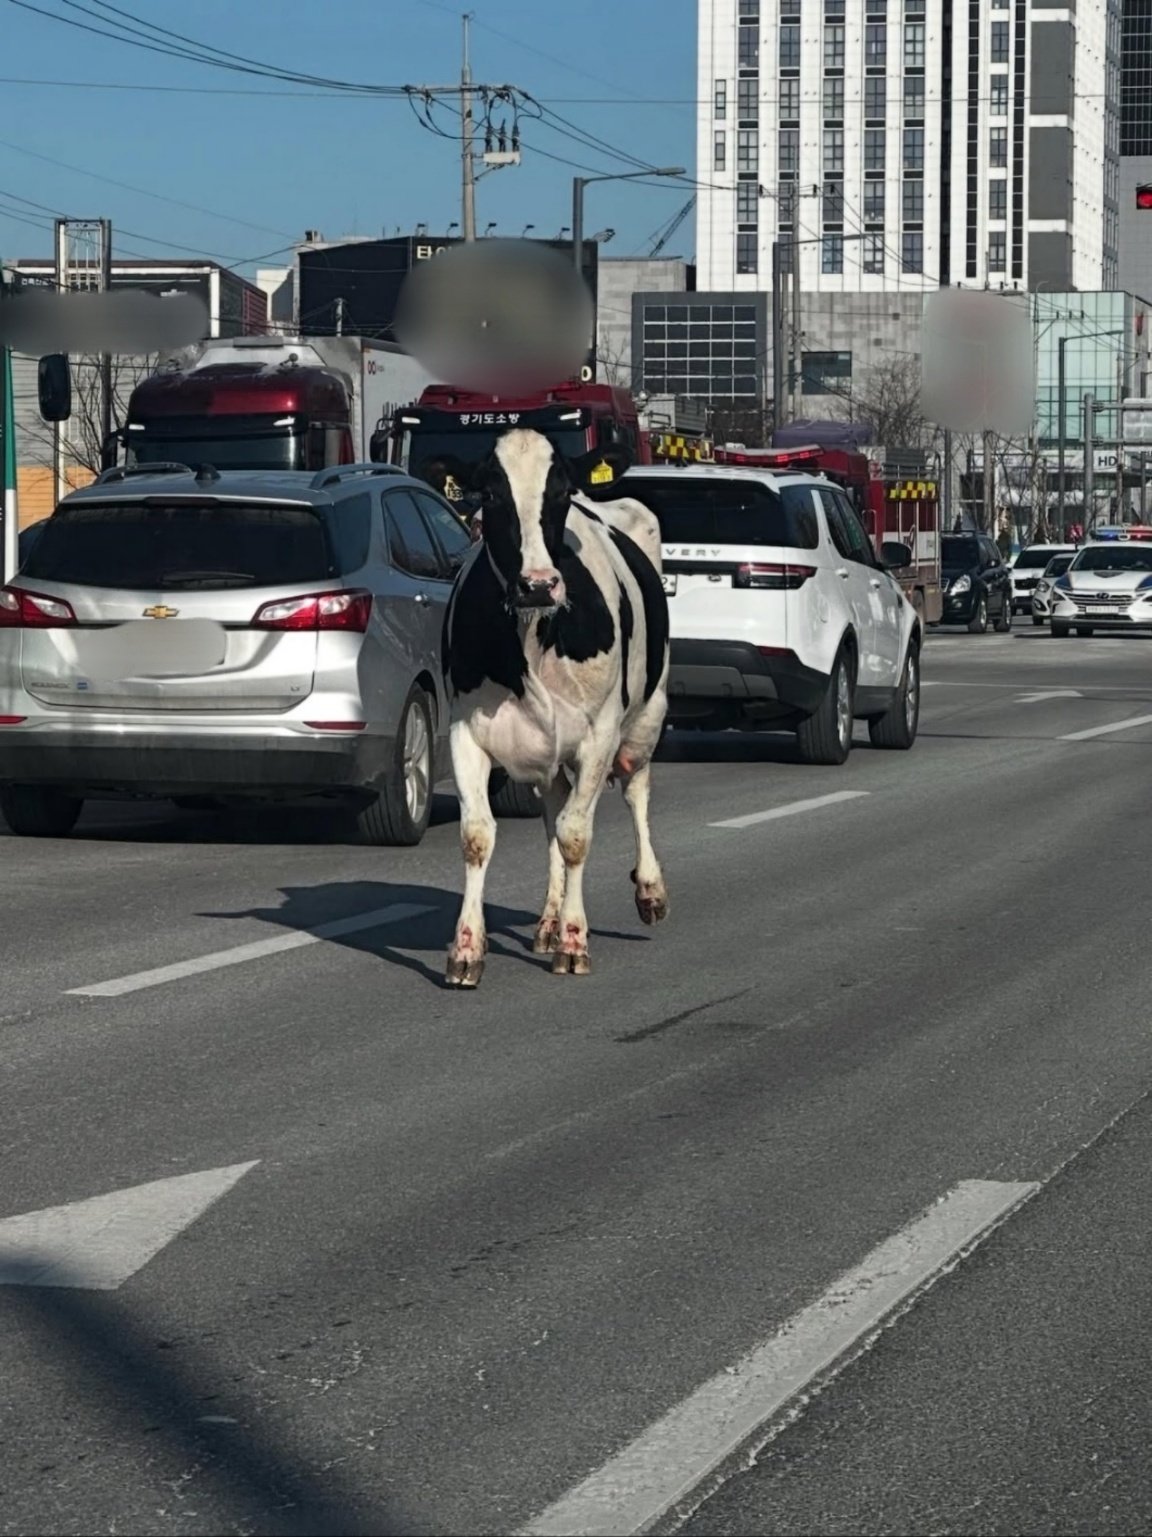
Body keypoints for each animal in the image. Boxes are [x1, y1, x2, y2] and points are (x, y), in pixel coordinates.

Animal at [436, 427, 672, 989]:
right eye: (490, 494)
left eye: (561, 493)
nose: (538, 583)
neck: (532, 635)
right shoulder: (465, 730)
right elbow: (478, 835)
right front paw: (467, 948)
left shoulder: (599, 736)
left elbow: (575, 836)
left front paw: (574, 940)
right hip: (545, 751)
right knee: (552, 807)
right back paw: (547, 918)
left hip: (646, 718)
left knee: (636, 791)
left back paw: (649, 890)